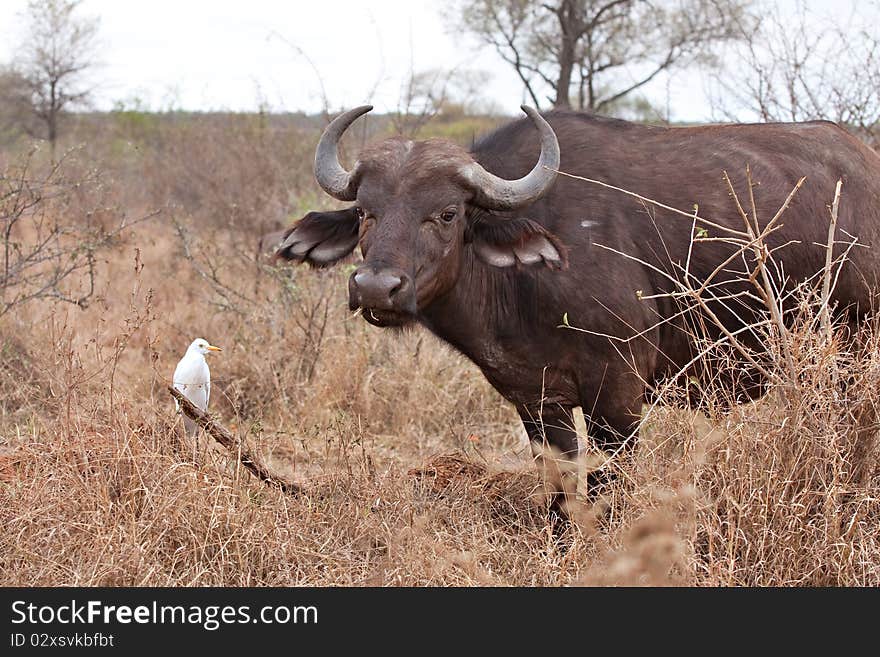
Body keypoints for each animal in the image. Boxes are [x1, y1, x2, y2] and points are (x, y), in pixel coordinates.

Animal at [278, 106, 880, 512]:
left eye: (447, 213)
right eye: (365, 212)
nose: (376, 288)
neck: (523, 286)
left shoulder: (619, 396)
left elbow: (609, 484)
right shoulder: (535, 399)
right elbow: (562, 485)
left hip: (853, 351)